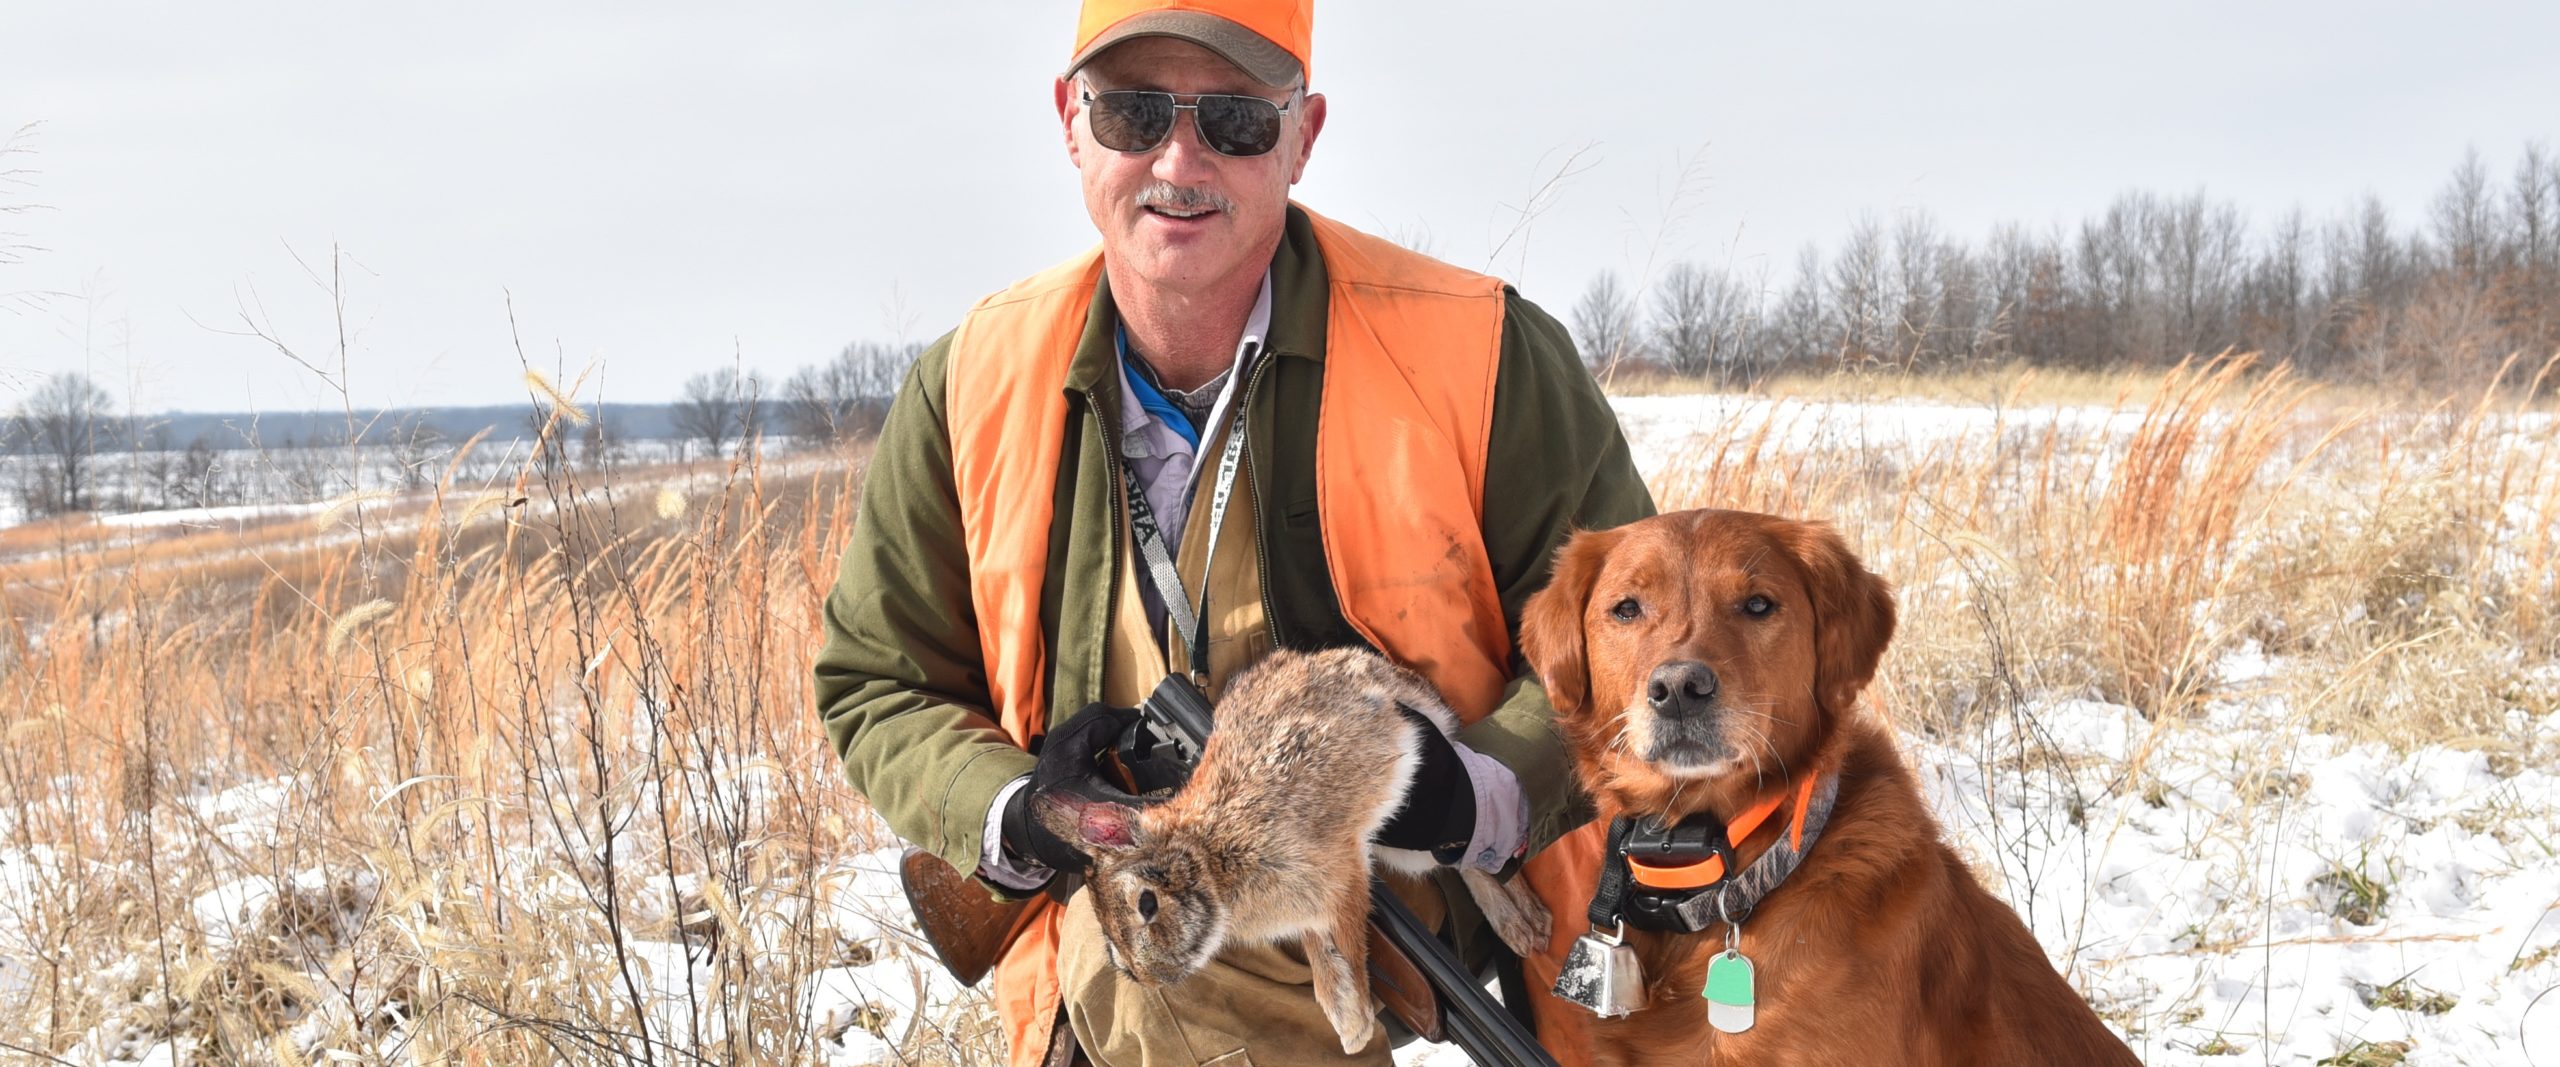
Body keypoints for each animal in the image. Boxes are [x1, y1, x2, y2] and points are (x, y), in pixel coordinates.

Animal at [1036, 646, 1553, 1054]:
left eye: (1147, 904)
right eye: (1117, 957)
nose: (1158, 978)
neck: (1209, 853)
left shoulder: (1339, 872)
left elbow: (1347, 939)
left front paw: (1354, 1024)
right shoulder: (1308, 910)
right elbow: (1320, 954)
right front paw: (1345, 1019)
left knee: (1479, 853)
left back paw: (1528, 925)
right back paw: (1521, 928)